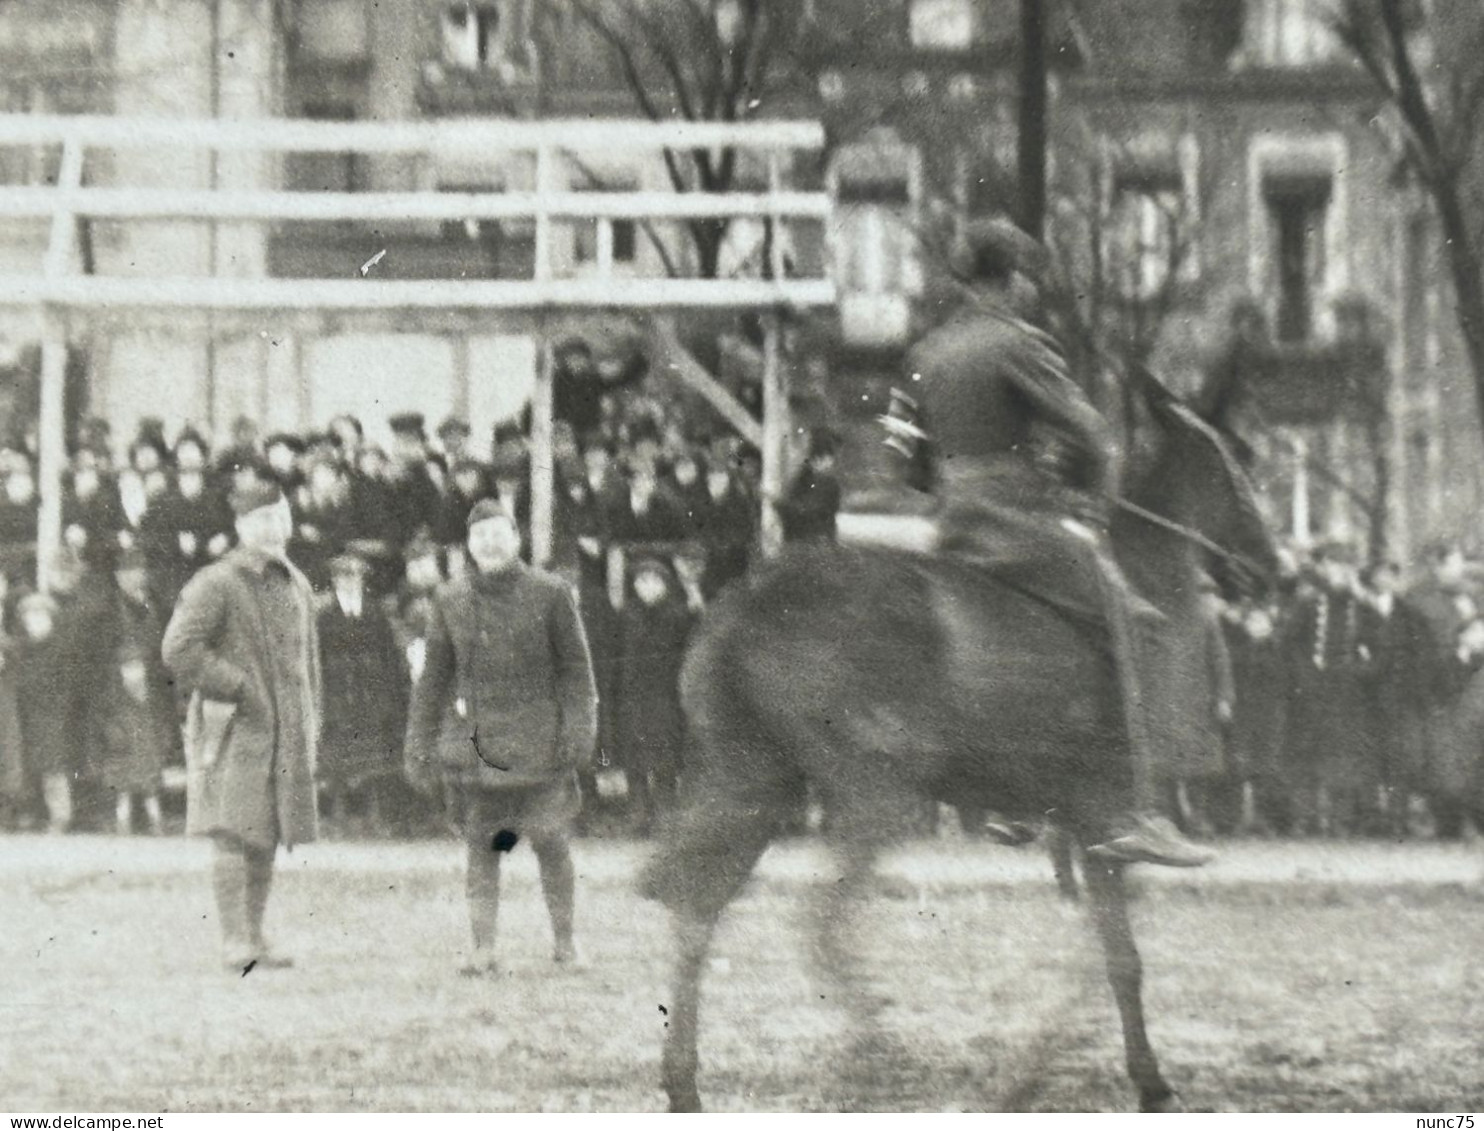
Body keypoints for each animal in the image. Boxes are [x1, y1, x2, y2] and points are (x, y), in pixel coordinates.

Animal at [638, 379, 1276, 1110]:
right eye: (1231, 467)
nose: (1272, 567)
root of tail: (748, 603)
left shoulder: (1081, 820)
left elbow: (1114, 957)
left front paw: (1129, 1075)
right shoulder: (1103, 818)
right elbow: (1113, 959)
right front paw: (1062, 1076)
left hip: (748, 782)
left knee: (697, 906)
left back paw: (684, 1081)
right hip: (875, 797)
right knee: (821, 928)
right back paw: (881, 1056)